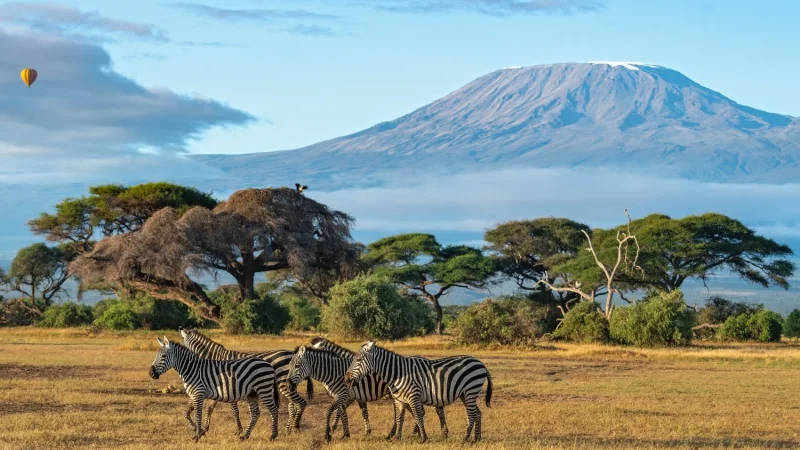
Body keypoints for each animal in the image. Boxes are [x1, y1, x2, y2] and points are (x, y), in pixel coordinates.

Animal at [149, 336, 279, 442]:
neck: (191, 369)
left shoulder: (198, 393)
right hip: (252, 393)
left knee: (273, 409)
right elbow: (186, 413)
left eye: (164, 356)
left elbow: (198, 414)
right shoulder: (193, 394)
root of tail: (268, 364)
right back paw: (245, 436)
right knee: (255, 413)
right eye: (156, 356)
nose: (151, 373)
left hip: (263, 389)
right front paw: (198, 430)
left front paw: (197, 435)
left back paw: (273, 435)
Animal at [178, 327, 313, 434]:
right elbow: (205, 408)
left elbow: (234, 411)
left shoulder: (228, 387)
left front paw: (239, 430)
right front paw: (203, 427)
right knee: (292, 405)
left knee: (298, 403)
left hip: (283, 384)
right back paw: (288, 429)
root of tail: (292, 353)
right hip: (288, 385)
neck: (215, 359)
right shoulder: (216, 389)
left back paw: (293, 428)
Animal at [309, 337, 450, 439]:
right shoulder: (357, 396)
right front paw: (365, 430)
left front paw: (336, 429)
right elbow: (362, 412)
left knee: (435, 409)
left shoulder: (350, 395)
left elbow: (340, 410)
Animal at [345, 341, 493, 443]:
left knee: (472, 414)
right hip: (465, 394)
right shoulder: (399, 399)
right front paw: (397, 437)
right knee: (477, 412)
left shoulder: (413, 396)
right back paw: (476, 438)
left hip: (470, 390)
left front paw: (423, 438)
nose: (346, 379)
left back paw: (465, 438)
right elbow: (400, 418)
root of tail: (481, 363)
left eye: (358, 360)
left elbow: (418, 415)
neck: (397, 373)